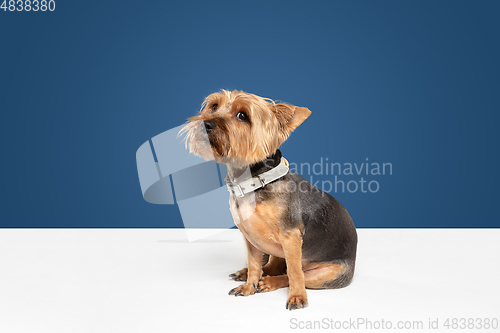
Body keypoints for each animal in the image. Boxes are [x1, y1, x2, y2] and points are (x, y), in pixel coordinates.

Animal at [182, 90, 358, 308]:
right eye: (214, 106)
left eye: (242, 115)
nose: (205, 123)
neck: (253, 182)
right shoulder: (250, 238)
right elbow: (254, 263)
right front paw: (249, 286)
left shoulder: (291, 235)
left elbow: (294, 272)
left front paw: (297, 296)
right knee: (273, 265)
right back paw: (250, 275)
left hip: (328, 274)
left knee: (293, 274)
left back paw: (269, 282)